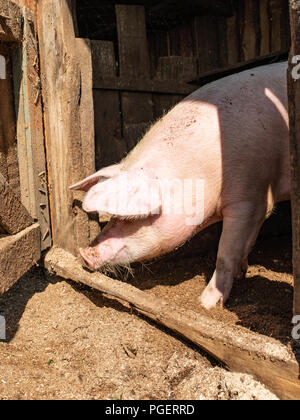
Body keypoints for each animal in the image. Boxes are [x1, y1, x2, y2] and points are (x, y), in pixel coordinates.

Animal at [70, 63, 290, 312]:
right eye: (114, 217)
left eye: (131, 218)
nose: (85, 254)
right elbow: (247, 244)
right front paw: (242, 273)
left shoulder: (250, 199)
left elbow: (225, 254)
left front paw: (205, 305)